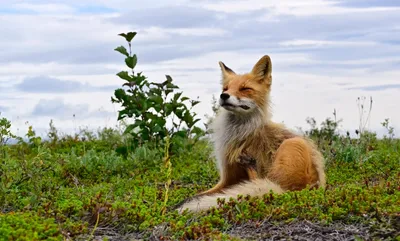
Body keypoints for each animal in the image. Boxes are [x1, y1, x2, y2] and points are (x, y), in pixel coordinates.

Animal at [177, 54, 326, 213]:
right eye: (225, 88)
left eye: (245, 88)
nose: (223, 95)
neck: (239, 134)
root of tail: (318, 186)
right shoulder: (227, 178)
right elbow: (196, 196)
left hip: (292, 145)